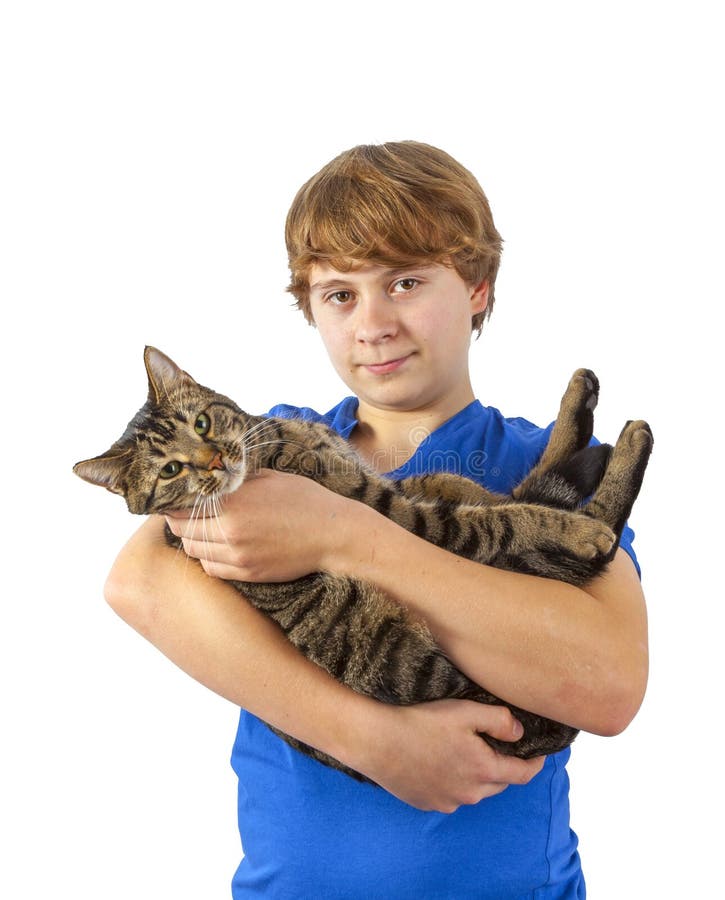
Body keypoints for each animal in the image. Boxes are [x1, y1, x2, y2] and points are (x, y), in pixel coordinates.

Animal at [73, 346, 652, 780]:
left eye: (201, 422)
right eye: (171, 470)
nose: (214, 460)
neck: (275, 445)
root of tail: (549, 735)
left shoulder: (392, 486)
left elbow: (468, 488)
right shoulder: (401, 516)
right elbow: (505, 520)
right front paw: (573, 527)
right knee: (583, 535)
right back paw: (620, 456)